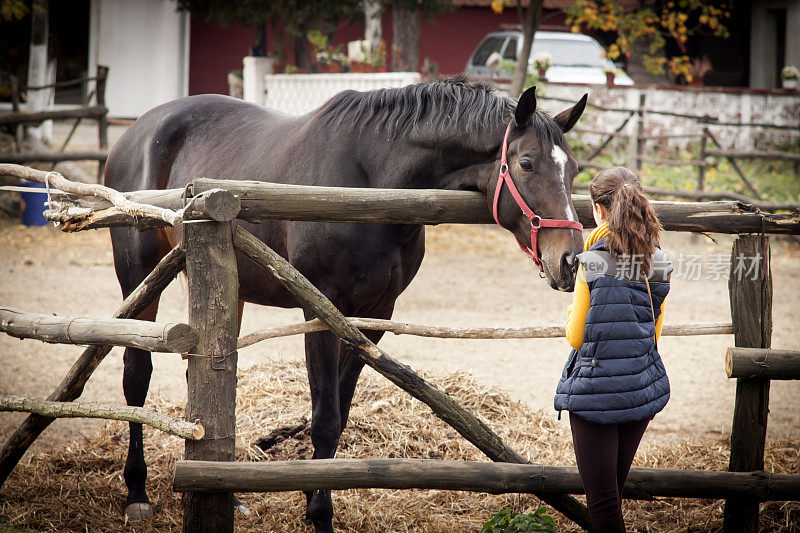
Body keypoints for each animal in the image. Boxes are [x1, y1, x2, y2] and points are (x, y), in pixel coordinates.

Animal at [103, 77, 584, 528]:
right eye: (526, 163)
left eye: (574, 170)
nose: (570, 259)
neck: (372, 182)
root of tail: (138, 130)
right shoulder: (320, 311)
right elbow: (325, 417)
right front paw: (319, 514)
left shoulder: (372, 316)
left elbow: (340, 412)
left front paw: (313, 498)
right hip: (139, 279)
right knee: (136, 375)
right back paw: (137, 495)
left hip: (227, 290)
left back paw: (227, 492)